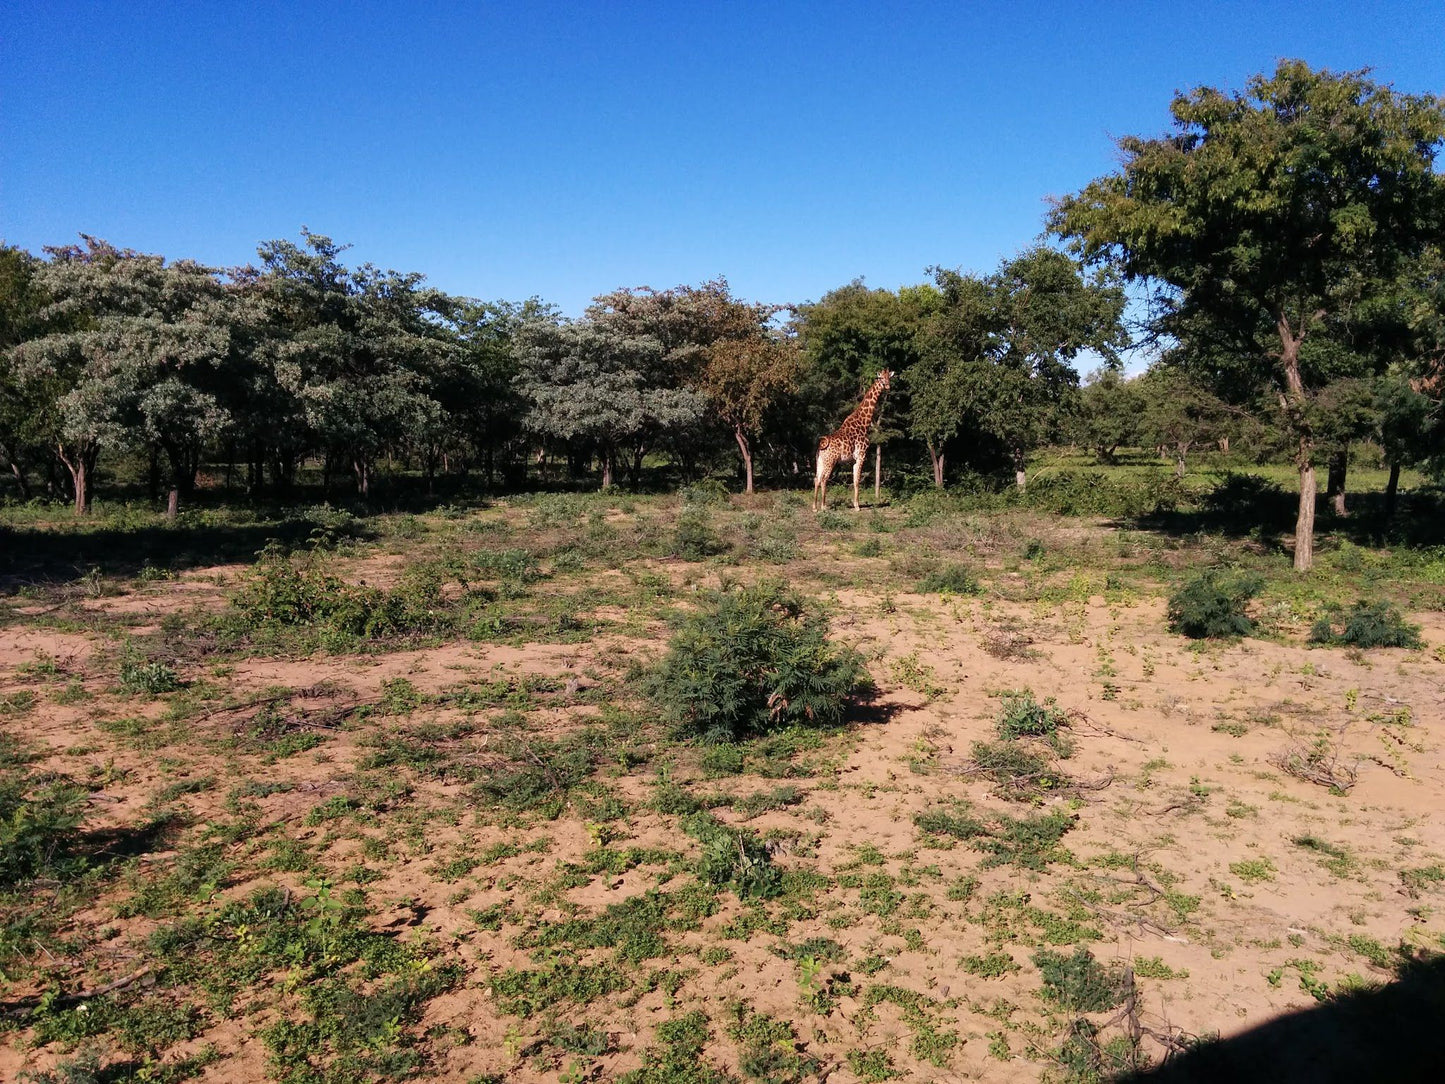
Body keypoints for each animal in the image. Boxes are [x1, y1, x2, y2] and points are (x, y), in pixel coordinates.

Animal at [814, 370, 890, 514]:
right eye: (881, 378)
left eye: (889, 377)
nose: (888, 386)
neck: (864, 422)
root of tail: (821, 444)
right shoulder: (861, 455)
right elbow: (857, 480)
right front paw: (857, 507)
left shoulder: (854, 459)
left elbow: (854, 479)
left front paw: (856, 505)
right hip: (830, 461)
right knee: (824, 479)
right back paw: (824, 506)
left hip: (820, 461)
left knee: (817, 479)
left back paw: (815, 507)